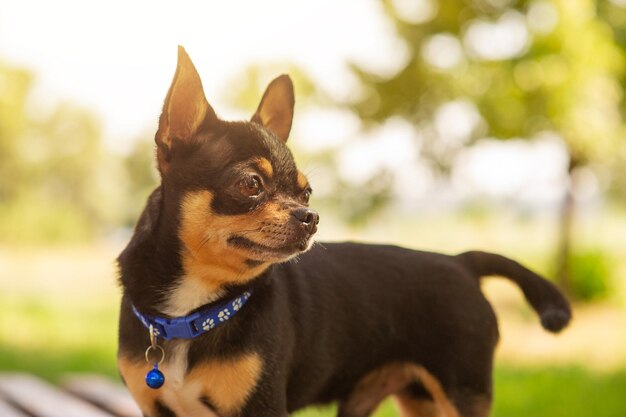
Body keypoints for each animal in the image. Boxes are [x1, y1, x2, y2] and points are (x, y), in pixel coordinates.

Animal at [117, 46, 572, 416]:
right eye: (250, 184)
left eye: (306, 192)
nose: (311, 216)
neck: (190, 312)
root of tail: (461, 262)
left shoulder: (262, 408)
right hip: (415, 400)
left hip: (461, 393)